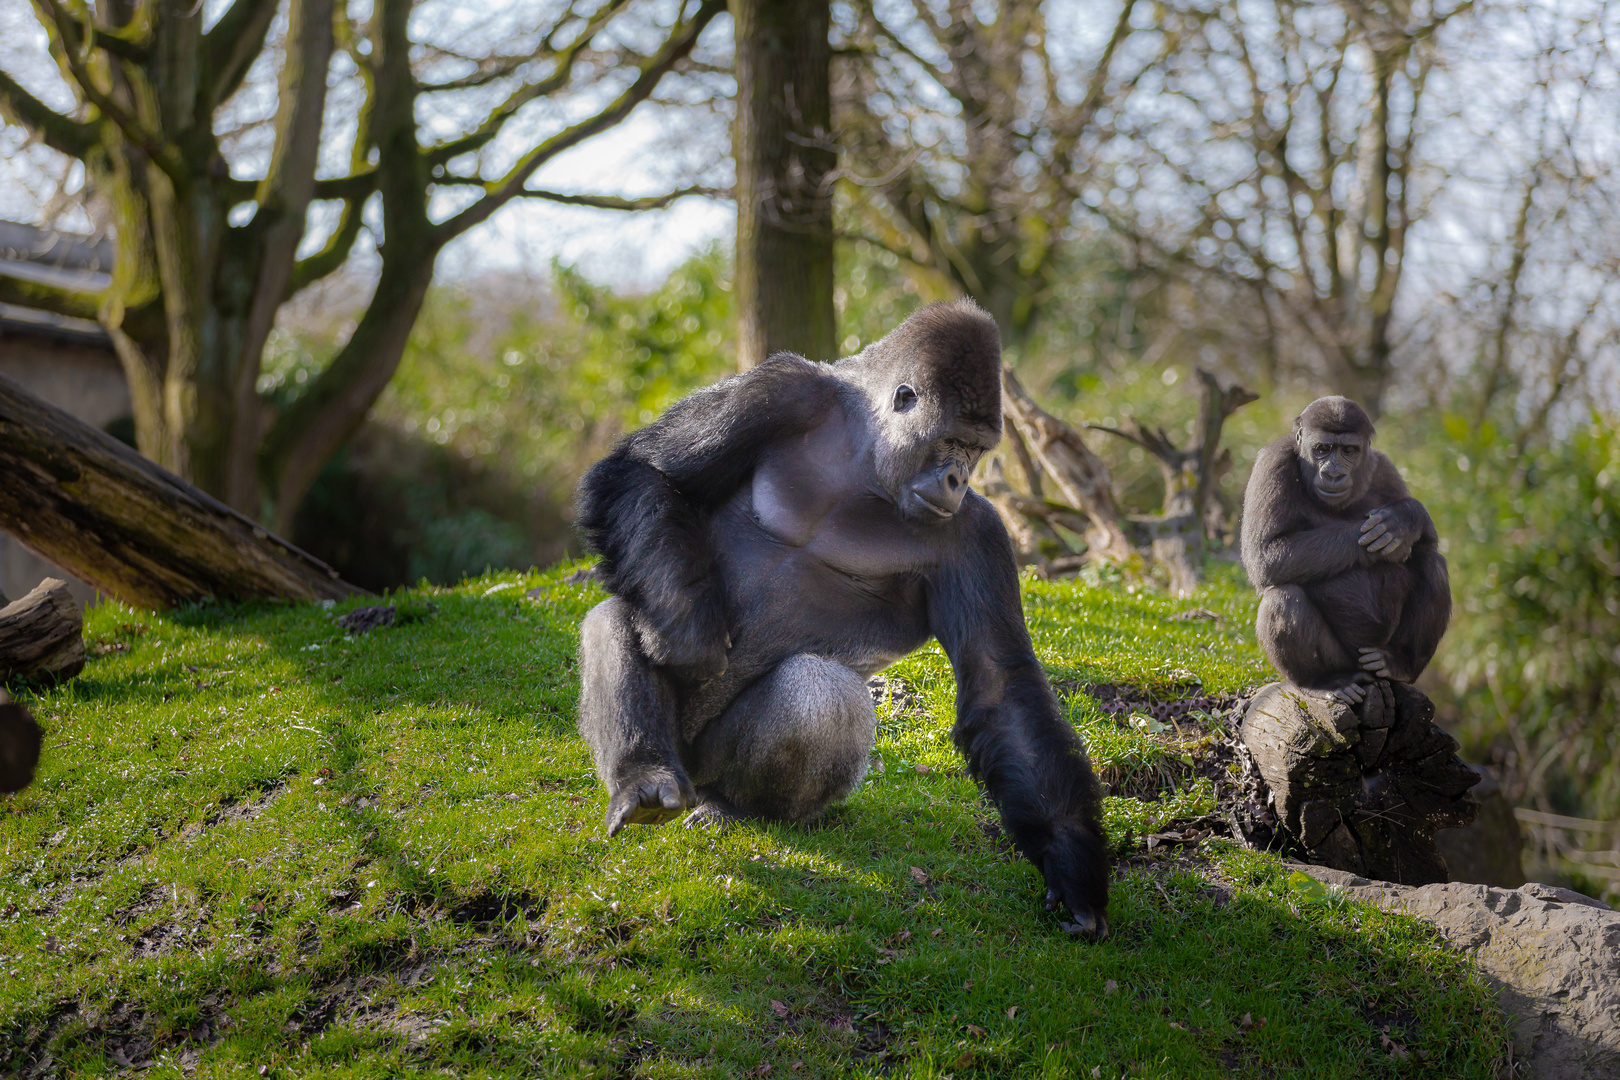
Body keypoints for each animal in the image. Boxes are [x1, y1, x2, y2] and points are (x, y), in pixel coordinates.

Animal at [573, 297, 1114, 939]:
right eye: (955, 441)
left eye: (979, 451)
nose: (959, 479)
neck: (868, 459)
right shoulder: (780, 389)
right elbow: (649, 470)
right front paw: (686, 619)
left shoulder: (977, 534)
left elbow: (1000, 687)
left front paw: (1070, 862)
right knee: (623, 611)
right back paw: (646, 772)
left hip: (707, 771)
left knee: (819, 695)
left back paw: (734, 810)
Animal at [1244, 395, 1451, 702]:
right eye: (1322, 449)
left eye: (1349, 451)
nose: (1333, 473)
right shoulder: (1273, 463)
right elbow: (1266, 554)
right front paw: (1392, 529)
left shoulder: (1384, 467)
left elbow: (1428, 539)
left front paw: (1404, 520)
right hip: (1346, 662)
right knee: (1283, 597)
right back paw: (1324, 681)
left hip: (1376, 651)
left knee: (1431, 562)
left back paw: (1400, 662)